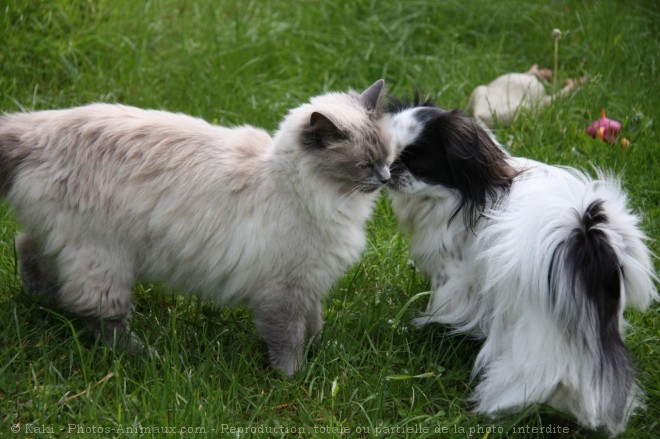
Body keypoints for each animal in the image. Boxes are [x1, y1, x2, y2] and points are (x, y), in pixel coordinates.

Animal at [0, 79, 392, 374]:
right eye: (364, 165)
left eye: (388, 156)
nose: (387, 179)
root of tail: (35, 128)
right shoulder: (285, 290)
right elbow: (288, 341)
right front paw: (294, 380)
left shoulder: (310, 283)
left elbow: (315, 326)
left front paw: (324, 352)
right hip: (104, 257)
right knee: (98, 314)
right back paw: (145, 355)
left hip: (64, 240)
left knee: (27, 247)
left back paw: (41, 302)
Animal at [384, 97, 656, 436]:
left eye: (418, 163)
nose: (389, 170)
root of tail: (587, 236)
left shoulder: (455, 274)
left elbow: (444, 302)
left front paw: (431, 325)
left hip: (536, 332)